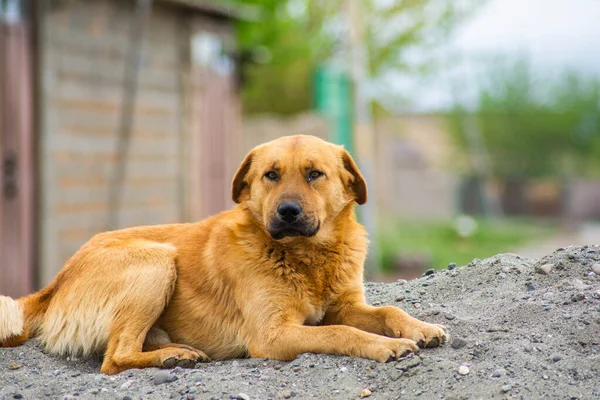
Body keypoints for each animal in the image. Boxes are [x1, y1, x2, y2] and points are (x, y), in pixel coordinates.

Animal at [0, 135, 448, 376]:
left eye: (314, 174)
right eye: (271, 175)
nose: (287, 212)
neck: (306, 257)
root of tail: (54, 283)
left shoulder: (344, 305)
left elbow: (388, 309)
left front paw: (420, 327)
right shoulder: (273, 335)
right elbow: (340, 333)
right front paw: (384, 345)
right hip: (156, 262)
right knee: (114, 359)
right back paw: (173, 356)